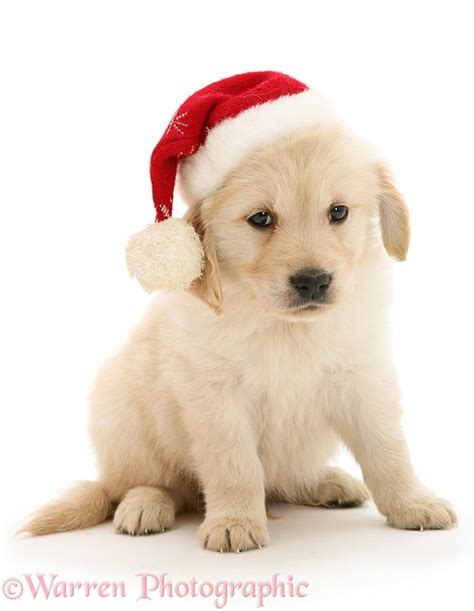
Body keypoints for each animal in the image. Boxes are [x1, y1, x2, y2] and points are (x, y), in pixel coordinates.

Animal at [21, 123, 456, 548]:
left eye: (338, 212)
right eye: (261, 219)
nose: (313, 282)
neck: (284, 326)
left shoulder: (363, 377)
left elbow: (388, 449)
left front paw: (413, 503)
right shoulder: (216, 397)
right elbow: (235, 464)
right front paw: (234, 522)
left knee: (282, 483)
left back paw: (326, 483)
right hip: (122, 416)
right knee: (142, 485)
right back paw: (145, 504)